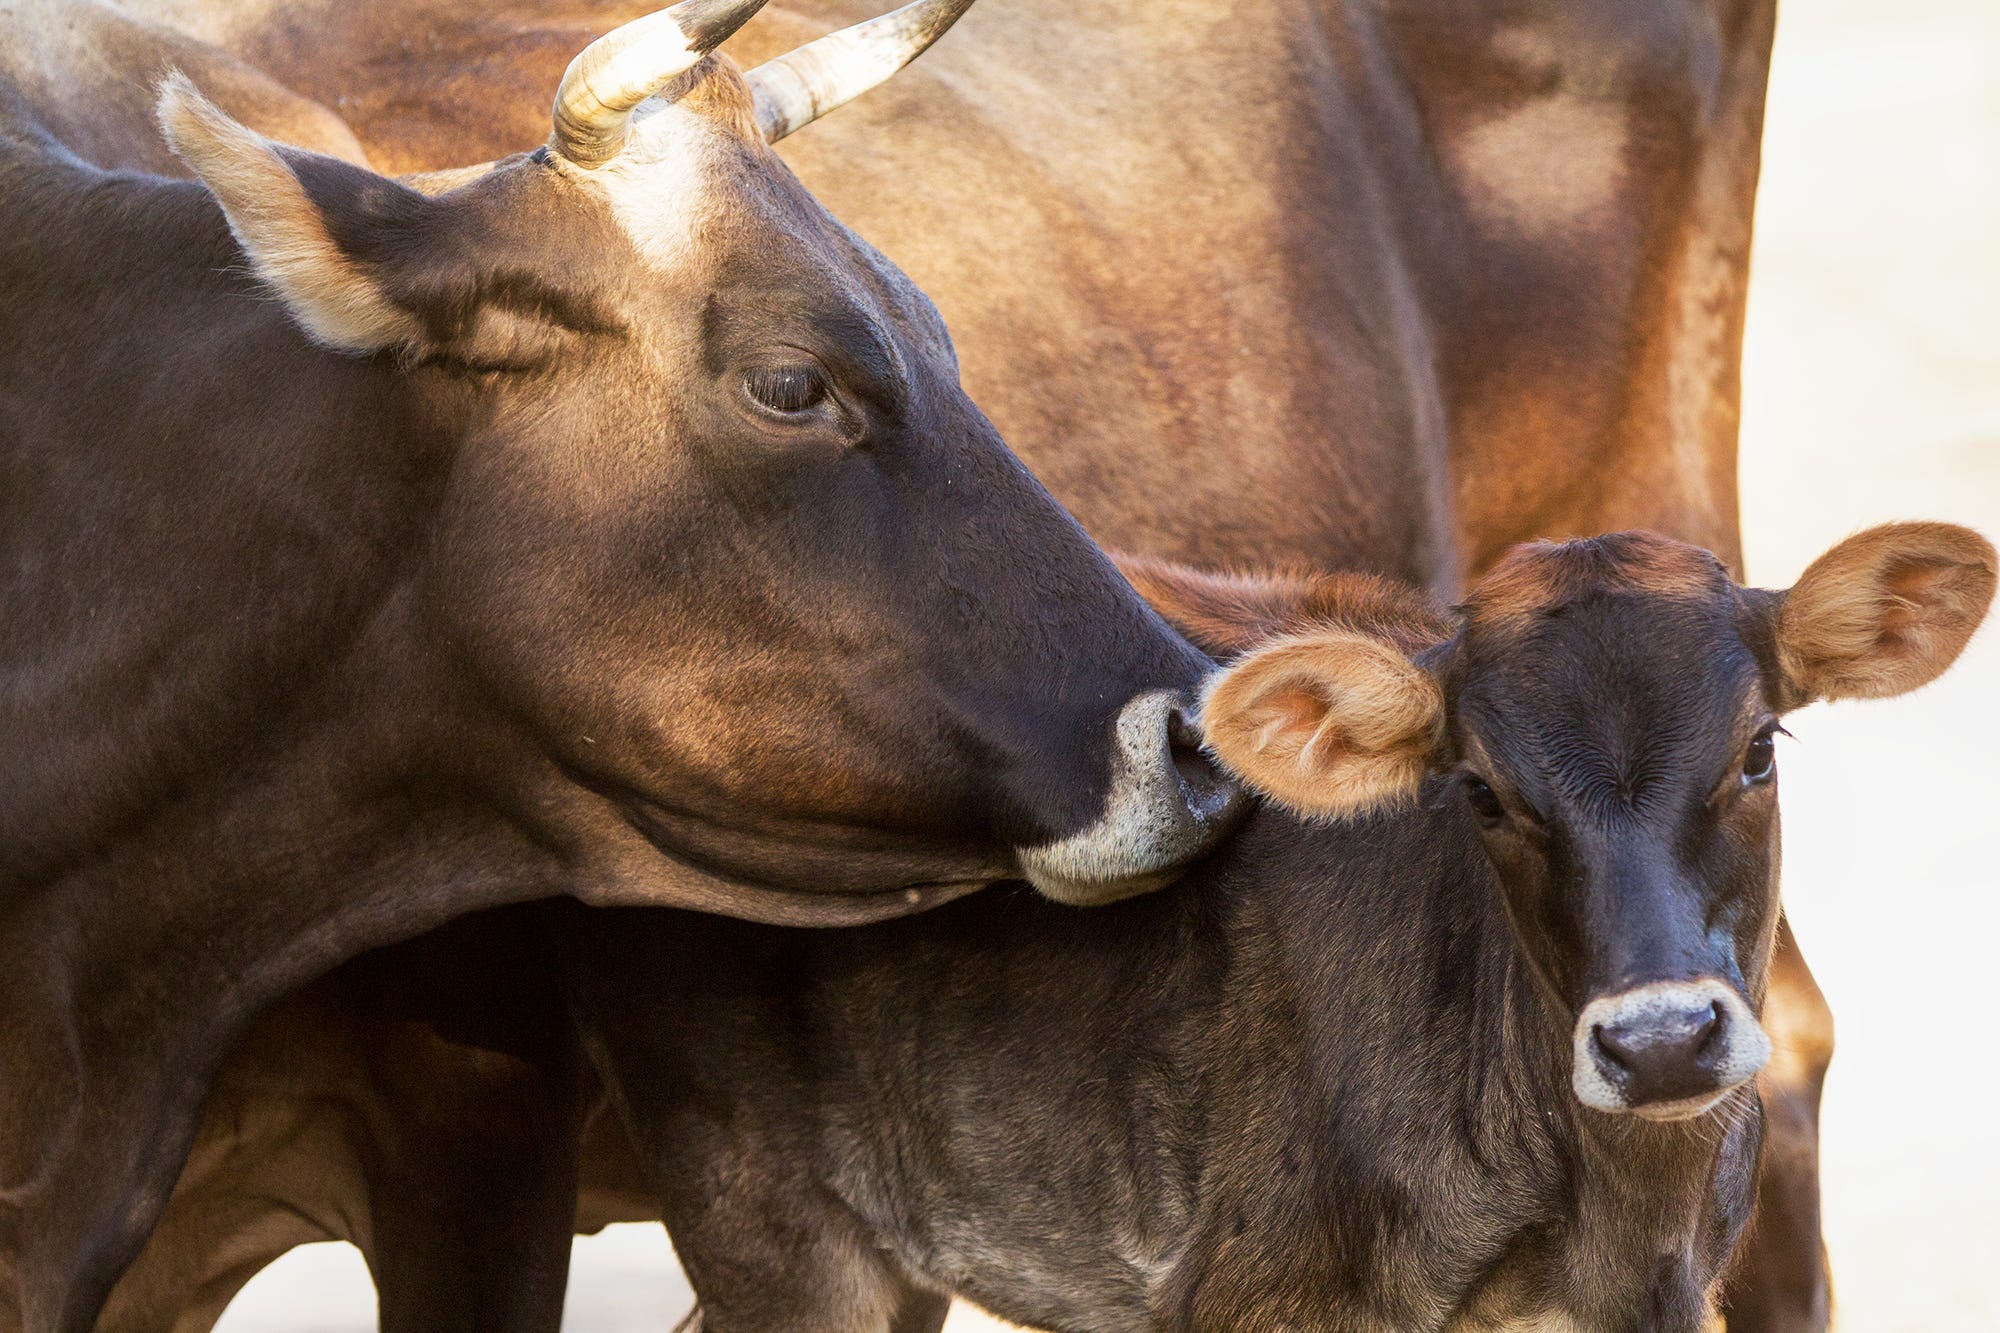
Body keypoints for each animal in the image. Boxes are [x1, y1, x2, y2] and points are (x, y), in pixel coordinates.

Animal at [550, 523, 1992, 1333]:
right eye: (1482, 790)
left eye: (1759, 749)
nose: (1660, 1043)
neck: (1596, 1233)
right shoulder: (1251, 1293)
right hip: (768, 1215)